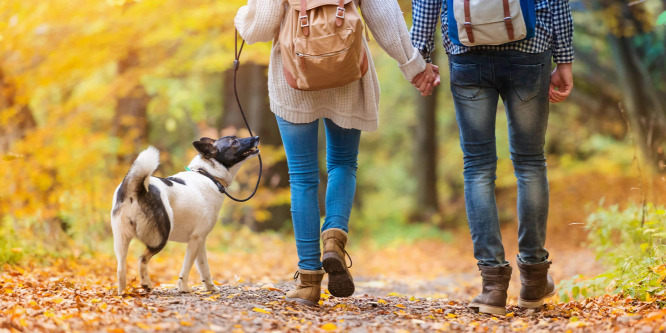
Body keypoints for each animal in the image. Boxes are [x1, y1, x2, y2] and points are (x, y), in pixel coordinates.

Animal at [110, 134, 258, 294]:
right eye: (234, 142)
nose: (256, 137)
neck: (209, 175)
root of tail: (135, 188)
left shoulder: (200, 241)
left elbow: (204, 268)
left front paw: (210, 288)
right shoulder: (195, 239)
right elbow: (186, 268)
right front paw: (184, 288)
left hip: (121, 240)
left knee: (120, 270)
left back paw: (123, 294)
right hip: (160, 238)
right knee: (142, 259)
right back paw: (146, 283)